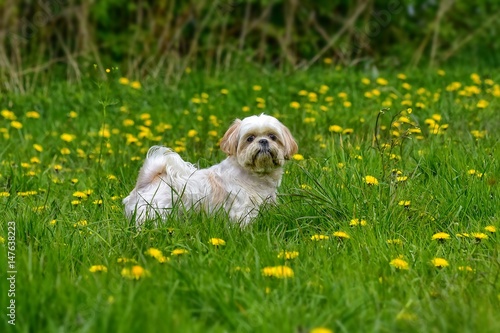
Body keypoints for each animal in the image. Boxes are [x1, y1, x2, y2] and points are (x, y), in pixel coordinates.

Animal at [124, 113, 296, 226]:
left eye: (273, 137)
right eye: (250, 138)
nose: (263, 141)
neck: (254, 175)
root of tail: (148, 181)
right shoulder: (242, 210)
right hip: (155, 211)